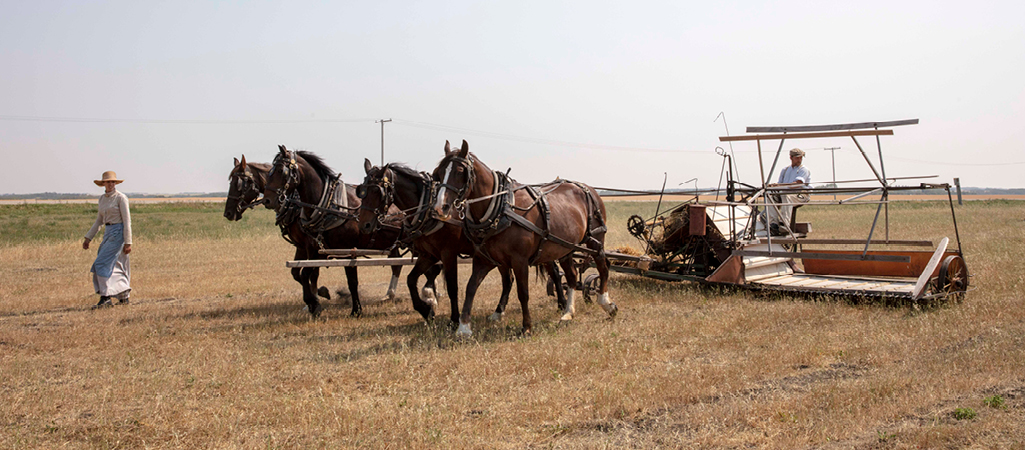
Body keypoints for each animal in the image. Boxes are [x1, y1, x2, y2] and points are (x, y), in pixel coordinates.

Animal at [262, 146, 434, 319]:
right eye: (269, 171)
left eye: (280, 171)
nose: (267, 200)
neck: (329, 206)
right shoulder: (312, 248)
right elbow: (302, 273)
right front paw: (314, 303)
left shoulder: (346, 251)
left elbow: (350, 281)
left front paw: (353, 309)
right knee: (400, 265)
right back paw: (393, 294)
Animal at [356, 159, 516, 328]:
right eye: (361, 191)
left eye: (377, 191)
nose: (364, 225)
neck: (428, 210)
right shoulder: (429, 254)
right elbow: (411, 279)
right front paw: (426, 310)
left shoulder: (448, 253)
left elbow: (452, 287)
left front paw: (453, 319)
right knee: (508, 280)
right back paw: (498, 312)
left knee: (508, 279)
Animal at [430, 140, 615, 334]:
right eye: (438, 173)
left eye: (460, 171)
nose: (439, 208)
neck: (501, 210)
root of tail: (588, 188)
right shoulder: (483, 259)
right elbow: (471, 287)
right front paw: (464, 327)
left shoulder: (520, 260)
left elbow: (523, 292)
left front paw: (526, 326)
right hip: (565, 248)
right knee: (571, 276)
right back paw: (568, 313)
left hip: (596, 239)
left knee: (603, 266)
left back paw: (606, 303)